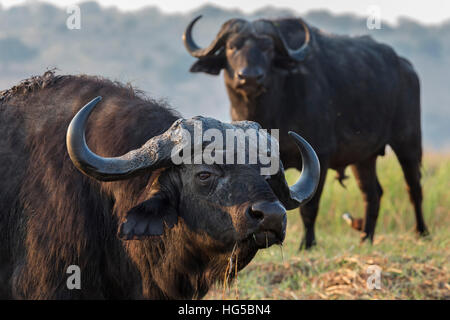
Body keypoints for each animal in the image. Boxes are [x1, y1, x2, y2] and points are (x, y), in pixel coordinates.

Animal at [184, 16, 428, 249]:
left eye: (267, 48)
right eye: (232, 46)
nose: (250, 77)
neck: (273, 110)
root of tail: (406, 67)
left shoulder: (320, 155)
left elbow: (309, 207)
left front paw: (307, 244)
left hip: (408, 142)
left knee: (413, 186)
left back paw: (421, 232)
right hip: (364, 158)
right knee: (372, 193)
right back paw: (366, 238)